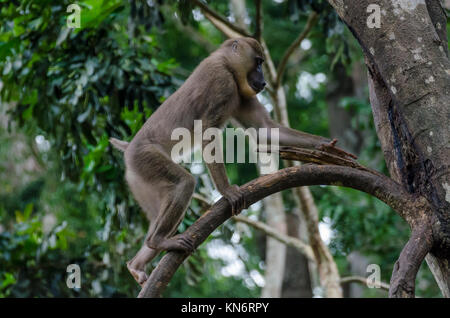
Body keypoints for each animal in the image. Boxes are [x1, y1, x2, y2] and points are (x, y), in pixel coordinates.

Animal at [109, 37, 356, 286]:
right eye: (258, 62)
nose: (263, 80)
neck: (227, 63)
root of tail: (129, 148)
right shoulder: (223, 82)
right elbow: (208, 131)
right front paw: (227, 191)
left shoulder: (242, 93)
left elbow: (265, 130)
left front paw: (326, 147)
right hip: (146, 158)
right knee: (184, 183)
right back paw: (158, 241)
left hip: (139, 179)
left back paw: (137, 264)